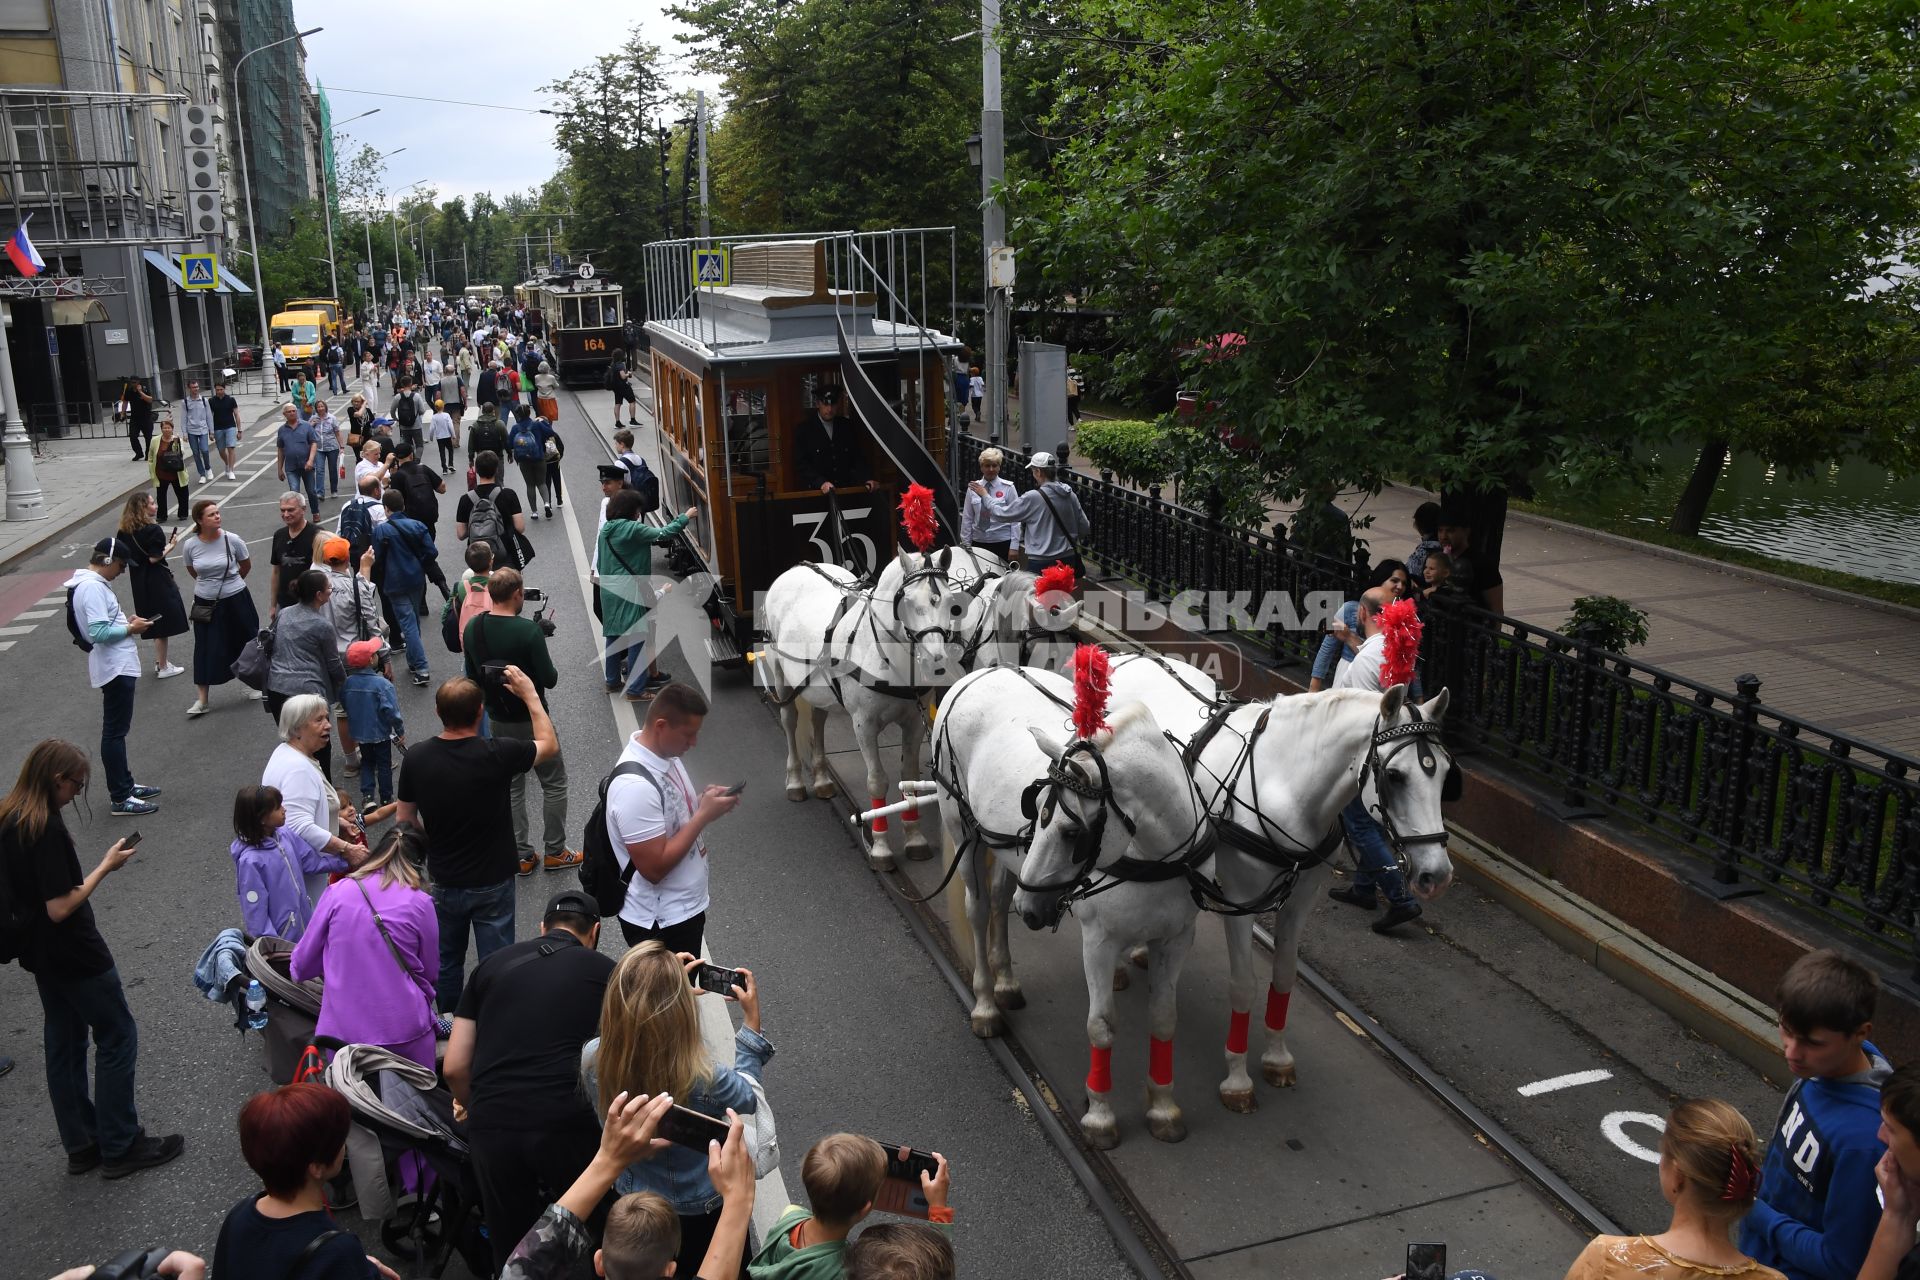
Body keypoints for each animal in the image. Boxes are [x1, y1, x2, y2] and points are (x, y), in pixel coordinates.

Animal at [933, 660, 1213, 1151]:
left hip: (1006, 855)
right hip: (961, 825)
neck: (1155, 856)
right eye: (1036, 810)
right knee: (979, 909)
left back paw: (1006, 979)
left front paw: (1163, 1107)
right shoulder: (1099, 942)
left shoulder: (1177, 938)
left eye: (1070, 832)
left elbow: (1164, 1019)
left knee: (1001, 901)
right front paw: (1100, 1115)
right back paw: (985, 1003)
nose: (1032, 909)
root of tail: (983, 671)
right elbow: (1101, 1024)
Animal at [1105, 652, 1443, 1113]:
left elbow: (1284, 975)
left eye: (1447, 775)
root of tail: (1127, 656)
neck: (1282, 786)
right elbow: (1243, 985)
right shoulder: (1239, 900)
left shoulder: (1301, 901)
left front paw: (1277, 1058)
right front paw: (1237, 1078)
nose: (1436, 873)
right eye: (1396, 776)